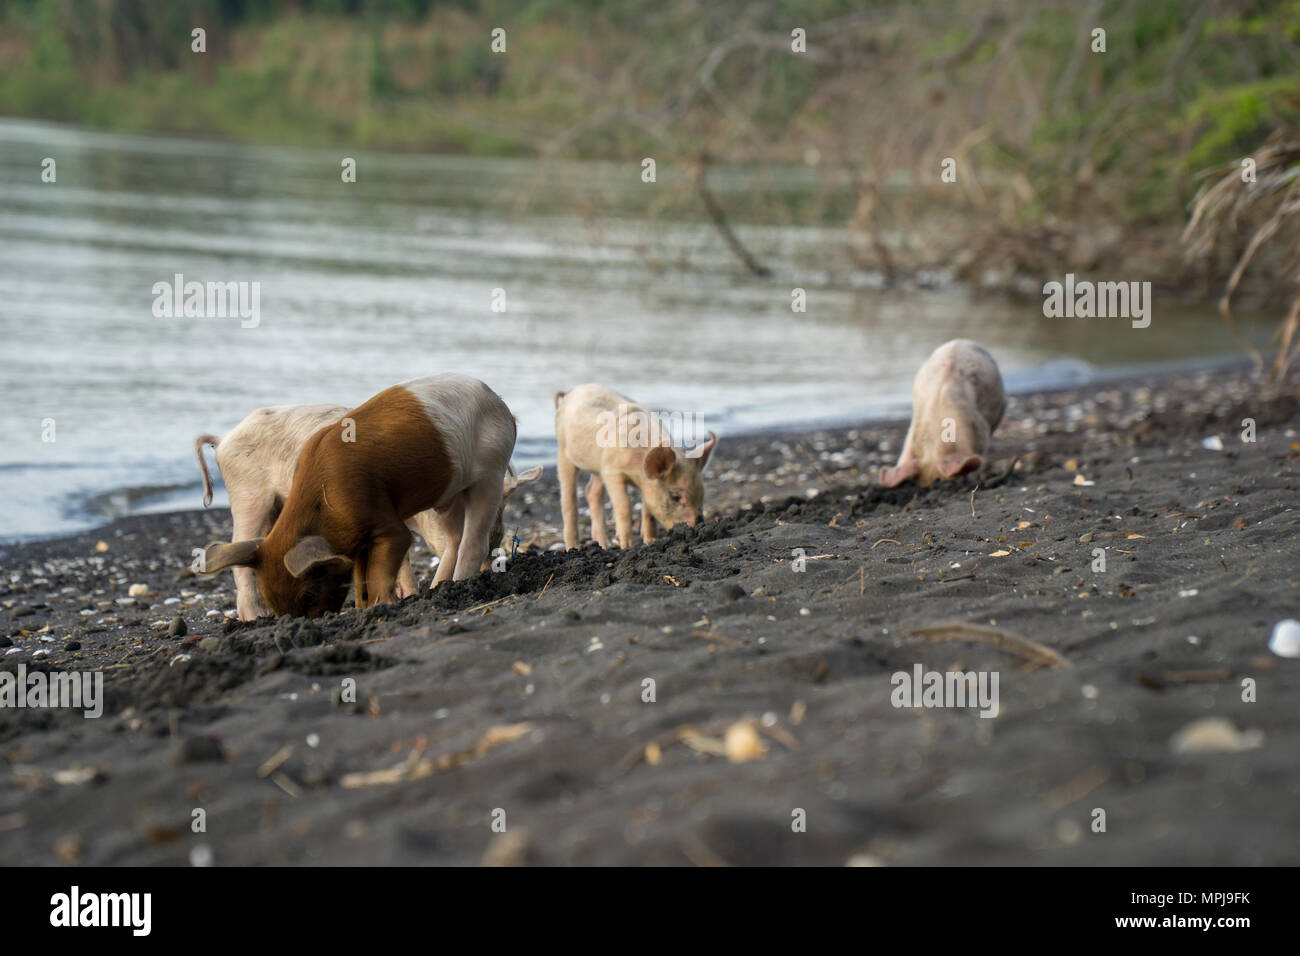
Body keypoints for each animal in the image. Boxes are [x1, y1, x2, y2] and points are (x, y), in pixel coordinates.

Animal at [192, 374, 517, 621]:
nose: (492, 566)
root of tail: (223, 439)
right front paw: (406, 595)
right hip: (247, 496)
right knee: (240, 551)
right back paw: (252, 618)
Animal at [556, 385, 722, 548]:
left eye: (702, 494)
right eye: (676, 497)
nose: (698, 525)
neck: (636, 472)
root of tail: (571, 393)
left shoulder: (645, 483)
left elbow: (647, 509)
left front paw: (650, 541)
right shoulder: (611, 471)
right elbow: (624, 506)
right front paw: (626, 545)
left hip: (597, 468)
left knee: (592, 492)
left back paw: (603, 545)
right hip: (563, 451)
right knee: (568, 499)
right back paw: (573, 547)